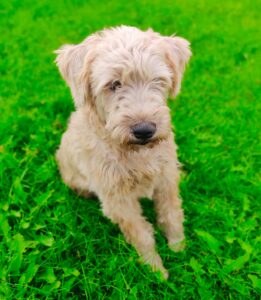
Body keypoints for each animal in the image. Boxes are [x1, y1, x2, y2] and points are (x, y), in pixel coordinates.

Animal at [54, 25, 190, 278]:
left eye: (157, 80)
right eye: (114, 84)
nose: (144, 130)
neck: (136, 153)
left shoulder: (166, 178)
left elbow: (172, 214)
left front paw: (179, 249)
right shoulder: (117, 198)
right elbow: (142, 234)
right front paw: (156, 271)